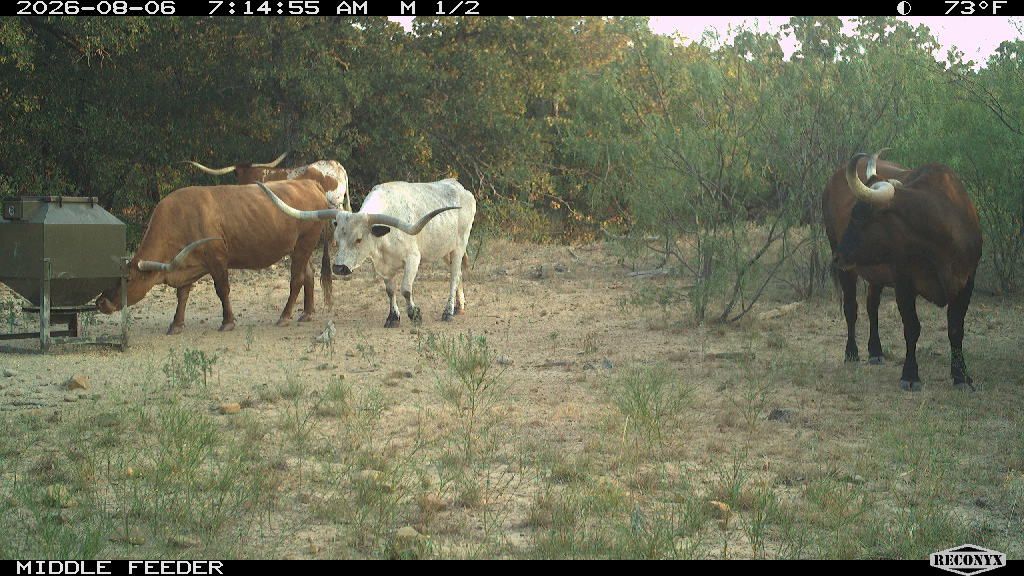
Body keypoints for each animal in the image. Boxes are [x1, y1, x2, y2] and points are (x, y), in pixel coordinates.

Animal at [95, 180, 333, 335]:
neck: (181, 217)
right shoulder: (185, 264)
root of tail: (309, 183)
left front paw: (228, 322)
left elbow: (222, 290)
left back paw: (285, 316)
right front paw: (176, 324)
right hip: (301, 248)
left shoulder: (217, 260)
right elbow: (182, 295)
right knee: (309, 274)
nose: (101, 302)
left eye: (127, 279)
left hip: (304, 243)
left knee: (297, 279)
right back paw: (307, 312)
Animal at [258, 179, 475, 328]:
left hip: (459, 244)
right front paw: (393, 318)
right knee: (458, 274)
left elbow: (405, 289)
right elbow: (390, 290)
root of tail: (461, 188)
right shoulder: (383, 266)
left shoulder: (413, 258)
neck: (384, 237)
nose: (339, 268)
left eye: (359, 239)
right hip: (446, 250)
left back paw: (448, 311)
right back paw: (459, 307)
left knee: (454, 276)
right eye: (337, 239)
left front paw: (414, 314)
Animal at [823, 149, 983, 391]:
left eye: (859, 216)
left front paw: (961, 376)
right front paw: (910, 375)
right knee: (851, 308)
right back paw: (851, 353)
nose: (838, 256)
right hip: (847, 270)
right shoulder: (904, 283)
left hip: (876, 275)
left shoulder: (967, 282)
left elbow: (956, 329)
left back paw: (875, 351)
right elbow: (912, 328)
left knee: (872, 306)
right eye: (851, 212)